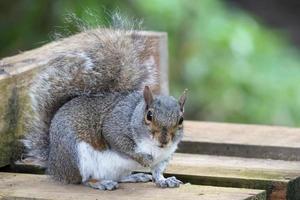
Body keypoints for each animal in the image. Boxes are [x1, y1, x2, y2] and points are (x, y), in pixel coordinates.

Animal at [23, 15, 186, 191]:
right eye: (149, 116)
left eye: (181, 120)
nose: (164, 141)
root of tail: (54, 165)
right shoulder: (116, 125)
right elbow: (116, 139)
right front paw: (143, 158)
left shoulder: (165, 156)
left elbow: (157, 172)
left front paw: (165, 180)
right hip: (77, 156)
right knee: (84, 180)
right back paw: (101, 183)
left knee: (119, 177)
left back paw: (134, 177)